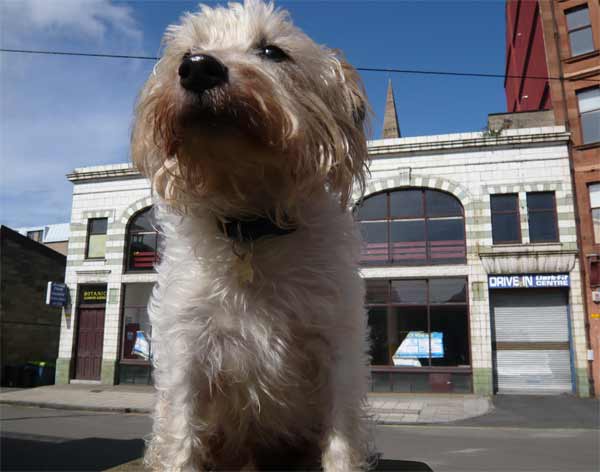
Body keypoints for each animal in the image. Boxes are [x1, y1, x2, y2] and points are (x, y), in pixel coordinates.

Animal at [132, 1, 370, 470]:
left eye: (273, 51)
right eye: (187, 50)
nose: (197, 67)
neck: (252, 228)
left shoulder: (338, 344)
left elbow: (340, 435)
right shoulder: (185, 346)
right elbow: (180, 431)